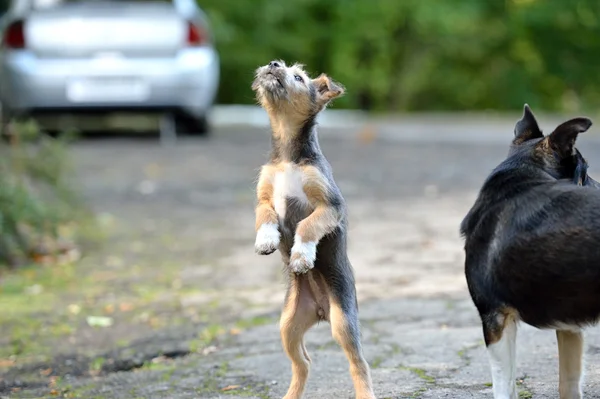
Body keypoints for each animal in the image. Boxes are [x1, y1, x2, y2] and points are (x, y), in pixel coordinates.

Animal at [250, 59, 372, 399]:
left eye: (298, 77)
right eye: (280, 65)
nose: (274, 64)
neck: (288, 158)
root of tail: (319, 310)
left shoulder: (330, 207)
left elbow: (306, 225)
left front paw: (301, 256)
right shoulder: (263, 197)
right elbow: (265, 215)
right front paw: (266, 239)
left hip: (343, 322)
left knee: (359, 364)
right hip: (287, 326)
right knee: (303, 362)